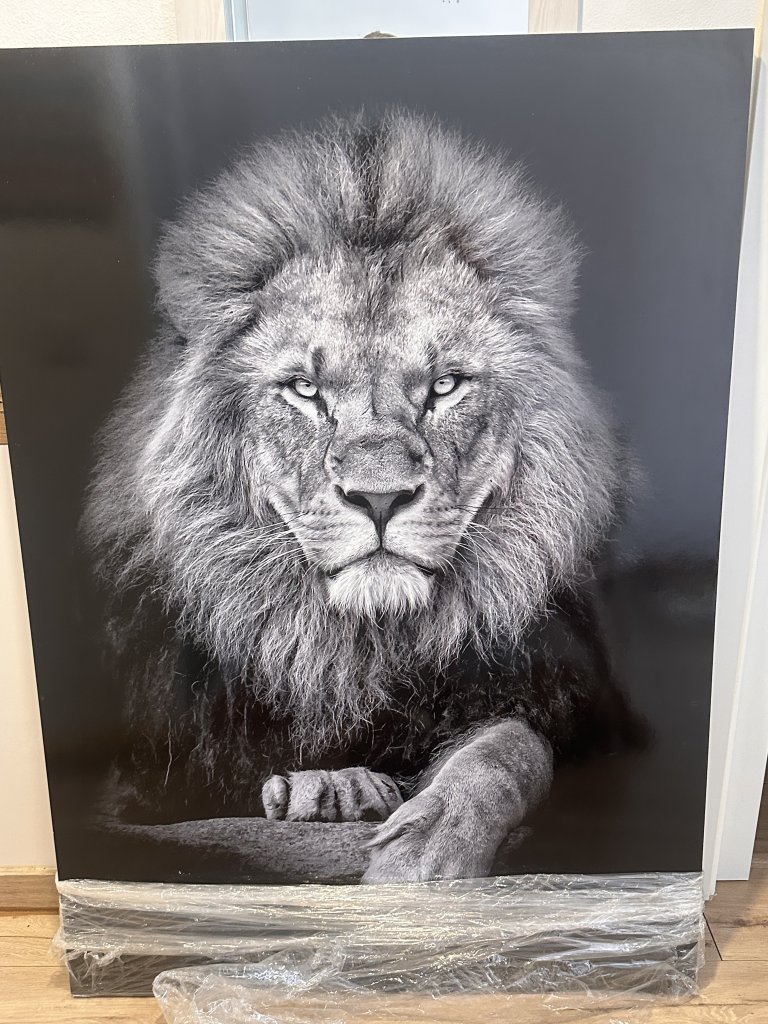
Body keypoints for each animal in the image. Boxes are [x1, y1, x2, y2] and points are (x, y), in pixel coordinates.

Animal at [84, 110, 638, 883]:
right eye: (304, 390)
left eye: (445, 385)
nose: (378, 500)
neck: (354, 649)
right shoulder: (135, 787)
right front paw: (329, 794)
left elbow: (507, 748)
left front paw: (426, 846)